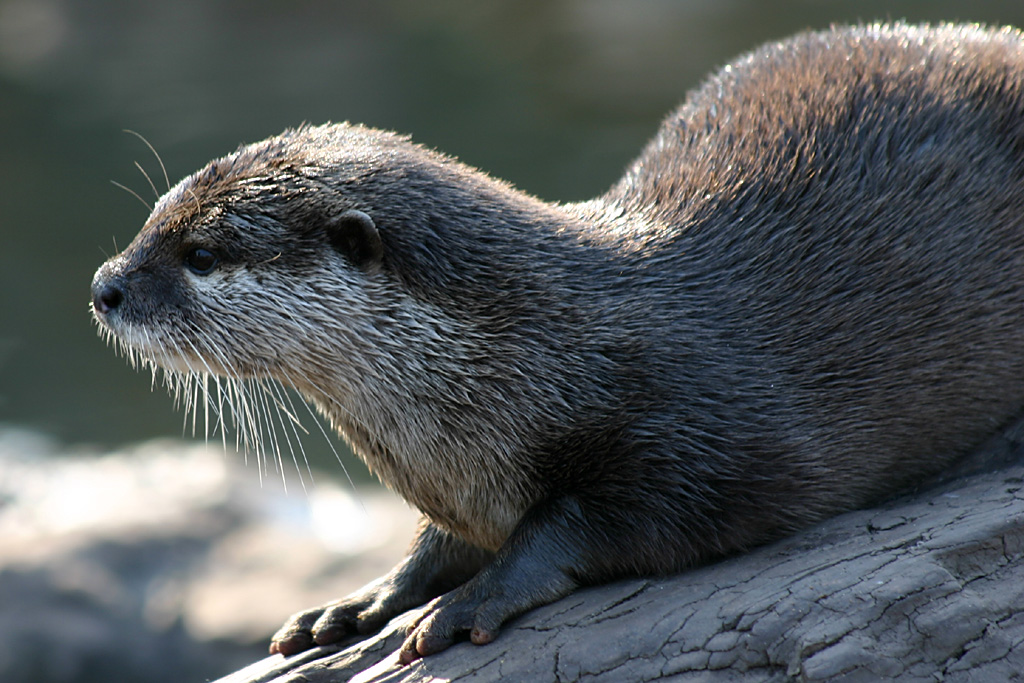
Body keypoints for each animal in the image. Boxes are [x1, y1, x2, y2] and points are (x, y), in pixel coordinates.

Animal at [91, 22, 1024, 664]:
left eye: (200, 253)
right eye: (151, 220)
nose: (105, 286)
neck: (533, 350)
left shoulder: (713, 427)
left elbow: (602, 515)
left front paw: (474, 600)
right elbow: (437, 542)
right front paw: (358, 602)